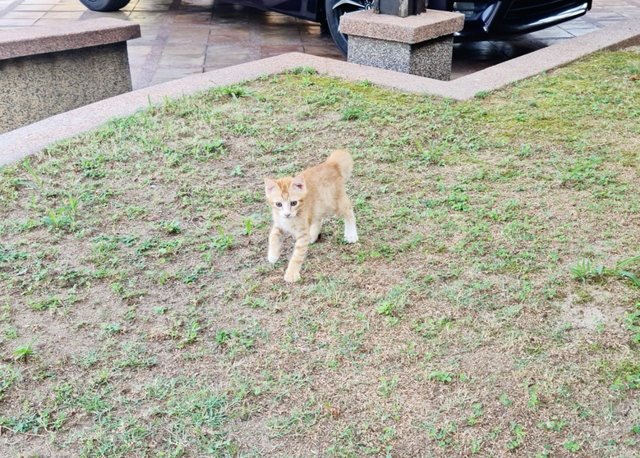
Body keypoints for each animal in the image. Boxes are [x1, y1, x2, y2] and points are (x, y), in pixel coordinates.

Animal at [262, 150, 358, 280]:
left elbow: (297, 255)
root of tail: (331, 164)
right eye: (278, 204)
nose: (287, 214)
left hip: (334, 204)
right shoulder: (279, 223)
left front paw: (291, 274)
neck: (290, 220)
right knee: (318, 218)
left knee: (348, 210)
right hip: (319, 205)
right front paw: (272, 255)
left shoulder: (302, 233)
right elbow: (272, 236)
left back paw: (351, 234)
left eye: (294, 203)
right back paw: (312, 235)